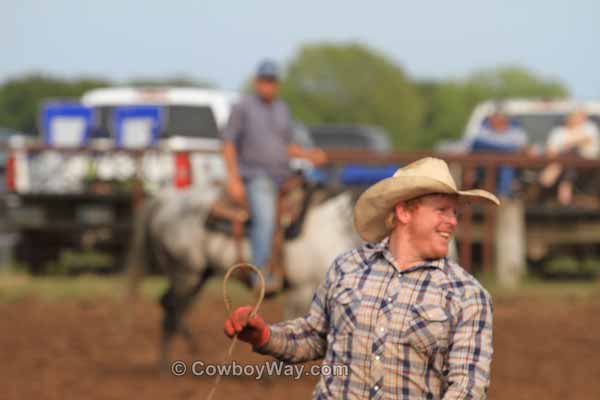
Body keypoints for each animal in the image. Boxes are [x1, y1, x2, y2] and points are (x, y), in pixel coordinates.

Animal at [126, 184, 358, 366]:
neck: (333, 227)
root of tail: (165, 200)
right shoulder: (301, 287)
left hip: (197, 274)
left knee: (170, 304)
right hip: (186, 272)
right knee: (172, 306)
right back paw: (168, 362)